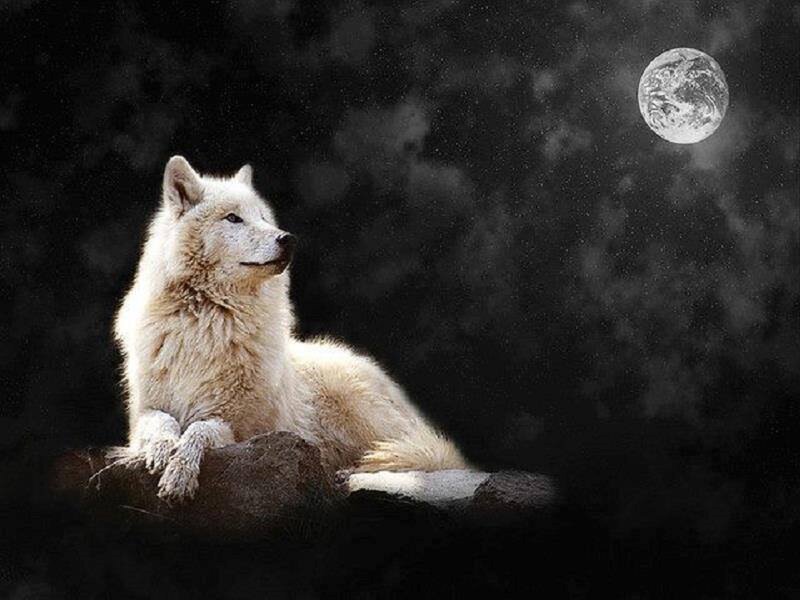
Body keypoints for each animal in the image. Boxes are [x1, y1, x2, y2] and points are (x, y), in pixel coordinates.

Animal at [113, 156, 467, 502]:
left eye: (264, 217)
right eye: (233, 218)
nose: (287, 239)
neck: (209, 324)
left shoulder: (241, 427)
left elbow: (199, 431)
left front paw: (179, 474)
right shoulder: (146, 412)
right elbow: (161, 423)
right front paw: (161, 453)